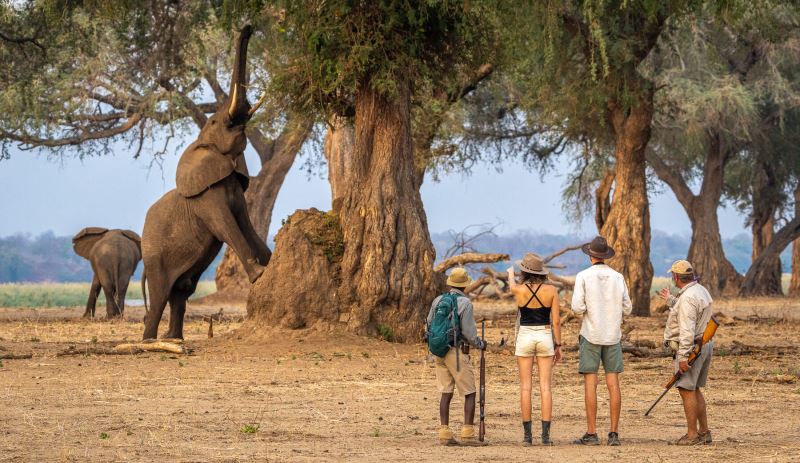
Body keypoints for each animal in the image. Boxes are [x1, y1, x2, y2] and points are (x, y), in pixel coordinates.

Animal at [142, 26, 270, 340]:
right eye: (213, 123)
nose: (248, 27)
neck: (199, 144)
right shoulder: (206, 197)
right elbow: (227, 226)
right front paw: (261, 275)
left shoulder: (235, 186)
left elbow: (245, 223)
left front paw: (271, 262)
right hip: (154, 258)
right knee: (160, 296)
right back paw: (151, 341)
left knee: (180, 292)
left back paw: (174, 339)